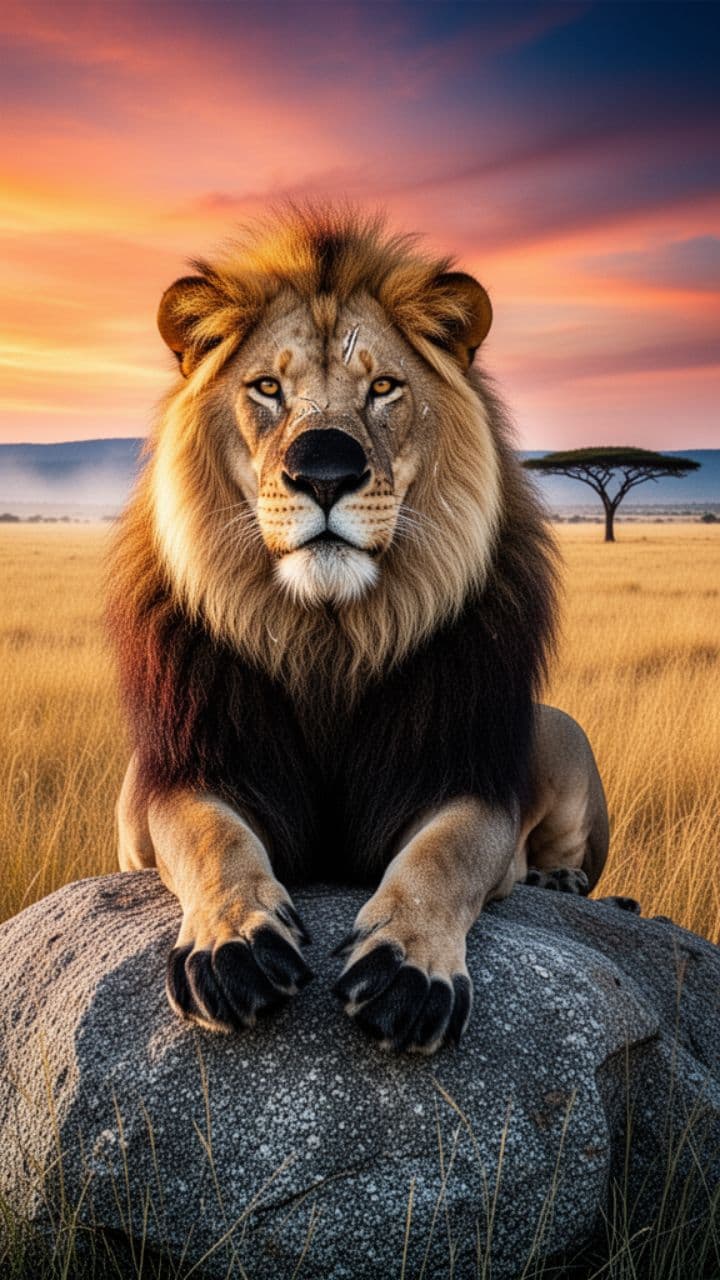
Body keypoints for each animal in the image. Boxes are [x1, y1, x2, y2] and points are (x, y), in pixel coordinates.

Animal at [110, 205, 609, 1054]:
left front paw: (407, 970)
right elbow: (211, 839)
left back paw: (562, 879)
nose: (325, 470)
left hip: (561, 730)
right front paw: (233, 945)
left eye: (383, 388)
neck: (328, 639)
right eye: (267, 388)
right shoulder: (179, 776)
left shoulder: (466, 778)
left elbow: (444, 856)